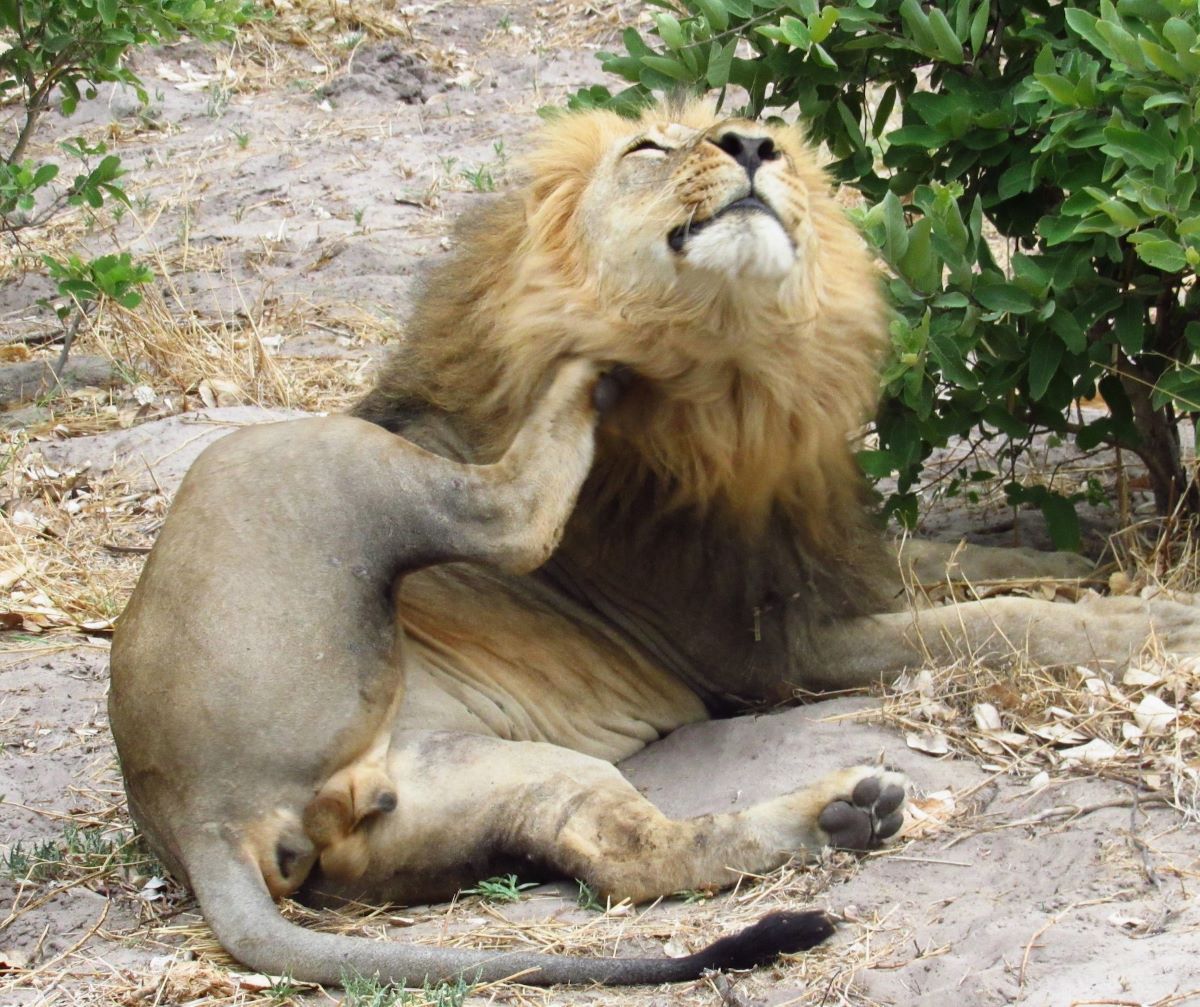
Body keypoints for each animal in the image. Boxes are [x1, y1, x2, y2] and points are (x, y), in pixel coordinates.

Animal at [108, 104, 1195, 993]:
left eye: (775, 140)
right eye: (648, 148)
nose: (753, 146)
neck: (746, 374)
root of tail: (198, 816)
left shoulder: (825, 559)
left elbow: (972, 566)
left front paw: (1096, 570)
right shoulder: (775, 649)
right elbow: (992, 624)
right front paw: (1162, 616)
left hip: (485, 781)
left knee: (631, 853)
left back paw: (840, 818)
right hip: (294, 457)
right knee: (511, 515)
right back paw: (593, 360)